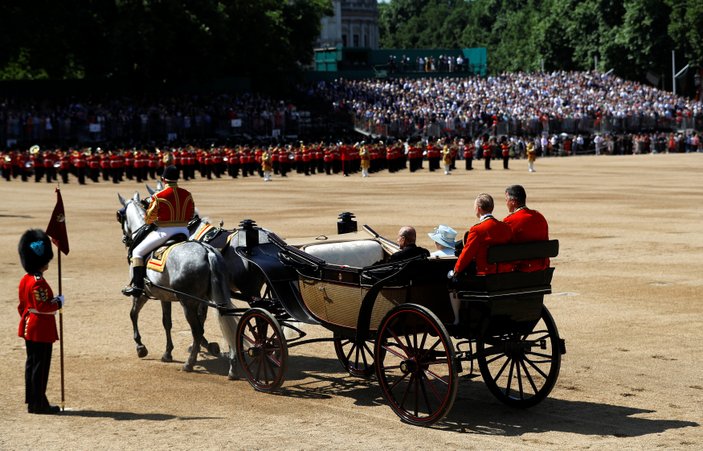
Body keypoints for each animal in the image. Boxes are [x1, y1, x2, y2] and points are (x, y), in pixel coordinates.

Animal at [115, 193, 236, 374]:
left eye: (120, 217)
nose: (125, 239)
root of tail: (207, 252)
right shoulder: (164, 296)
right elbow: (167, 322)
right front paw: (167, 352)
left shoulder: (141, 293)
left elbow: (133, 314)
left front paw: (140, 347)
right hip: (207, 299)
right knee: (211, 322)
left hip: (188, 302)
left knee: (197, 330)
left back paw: (189, 363)